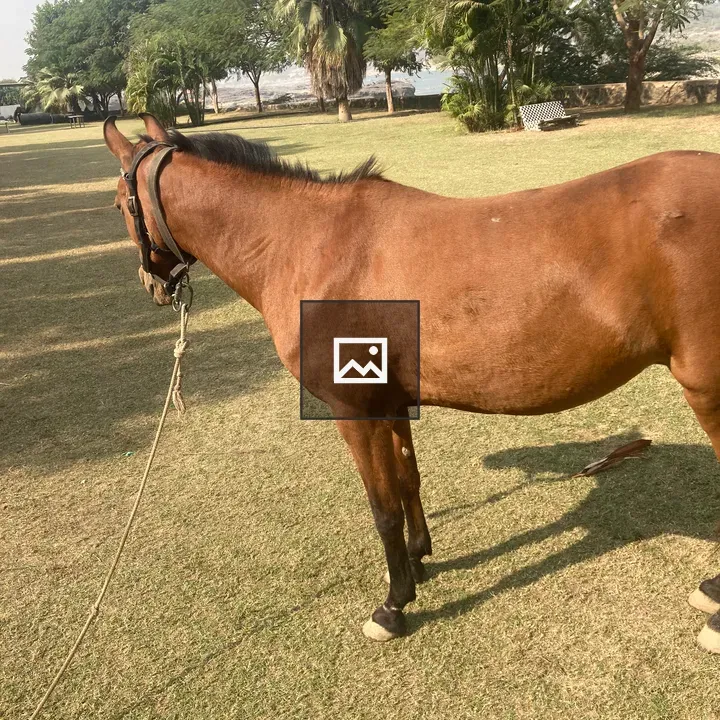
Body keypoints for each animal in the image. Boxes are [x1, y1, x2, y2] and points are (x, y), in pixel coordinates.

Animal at [103, 113, 720, 651]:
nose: (151, 285)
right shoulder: (392, 400)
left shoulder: (354, 411)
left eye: (116, 204)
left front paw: (393, 604)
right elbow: (407, 482)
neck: (311, 245)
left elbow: (382, 507)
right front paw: (420, 558)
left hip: (707, 389)